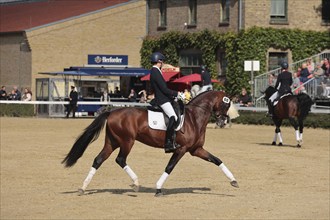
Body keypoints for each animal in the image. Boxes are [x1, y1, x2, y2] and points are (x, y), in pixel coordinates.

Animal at [62, 90, 238, 197]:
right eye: (226, 104)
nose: (223, 122)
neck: (194, 117)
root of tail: (111, 112)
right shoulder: (181, 149)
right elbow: (169, 167)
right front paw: (158, 188)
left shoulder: (196, 149)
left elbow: (217, 160)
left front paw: (233, 181)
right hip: (127, 141)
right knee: (120, 159)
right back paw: (136, 183)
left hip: (112, 142)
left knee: (98, 160)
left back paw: (83, 187)